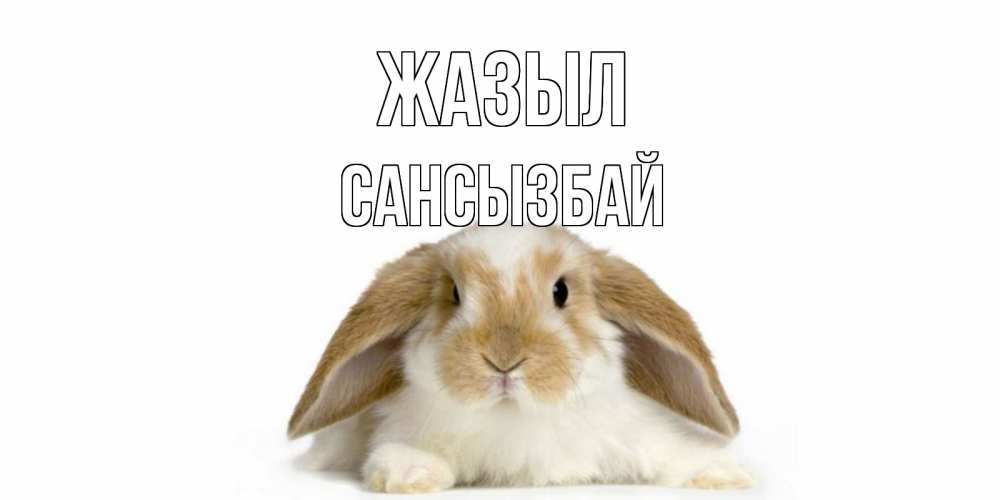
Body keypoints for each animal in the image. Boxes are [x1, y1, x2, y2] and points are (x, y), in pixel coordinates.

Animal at [288, 225, 753, 493]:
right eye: (454, 293)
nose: (504, 360)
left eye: (561, 291)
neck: (514, 416)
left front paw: (724, 475)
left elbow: (672, 452)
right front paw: (409, 475)